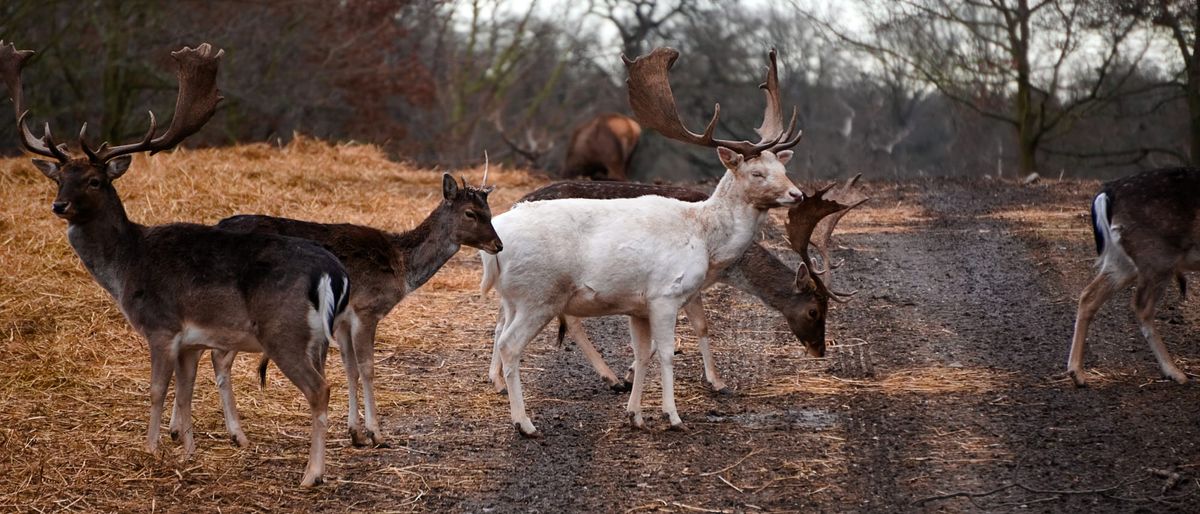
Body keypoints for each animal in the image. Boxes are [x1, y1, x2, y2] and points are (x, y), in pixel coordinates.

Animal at [0, 42, 350, 487]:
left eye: (95, 180)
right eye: (59, 178)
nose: (59, 206)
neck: (127, 266)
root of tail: (333, 272)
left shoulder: (161, 327)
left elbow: (156, 390)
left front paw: (150, 449)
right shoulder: (192, 341)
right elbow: (184, 394)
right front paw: (186, 452)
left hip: (282, 330)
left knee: (320, 390)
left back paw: (311, 476)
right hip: (316, 339)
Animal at [215, 172, 502, 447]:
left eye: (489, 211)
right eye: (470, 213)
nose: (498, 245)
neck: (401, 268)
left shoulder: (343, 321)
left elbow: (350, 369)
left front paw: (355, 434)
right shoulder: (366, 309)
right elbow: (367, 368)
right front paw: (376, 434)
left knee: (219, 360)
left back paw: (234, 435)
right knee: (220, 360)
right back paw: (237, 434)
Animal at [480, 47, 805, 437]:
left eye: (784, 169)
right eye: (757, 173)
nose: (797, 194)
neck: (705, 237)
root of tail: (495, 244)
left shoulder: (638, 306)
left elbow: (641, 353)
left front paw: (634, 414)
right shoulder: (665, 294)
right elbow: (665, 353)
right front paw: (673, 415)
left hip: (514, 298)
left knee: (501, 331)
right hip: (539, 295)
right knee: (511, 344)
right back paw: (525, 422)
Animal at [499, 177, 865, 393]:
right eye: (814, 311)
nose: (819, 350)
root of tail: (516, 204)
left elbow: (697, 326)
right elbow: (692, 328)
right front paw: (714, 380)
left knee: (506, 319)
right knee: (561, 320)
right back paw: (609, 377)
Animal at [1068, 167, 1200, 387]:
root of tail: (1106, 193)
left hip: (1121, 260)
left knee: (1088, 295)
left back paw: (1077, 373)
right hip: (1157, 256)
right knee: (1141, 307)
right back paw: (1174, 371)